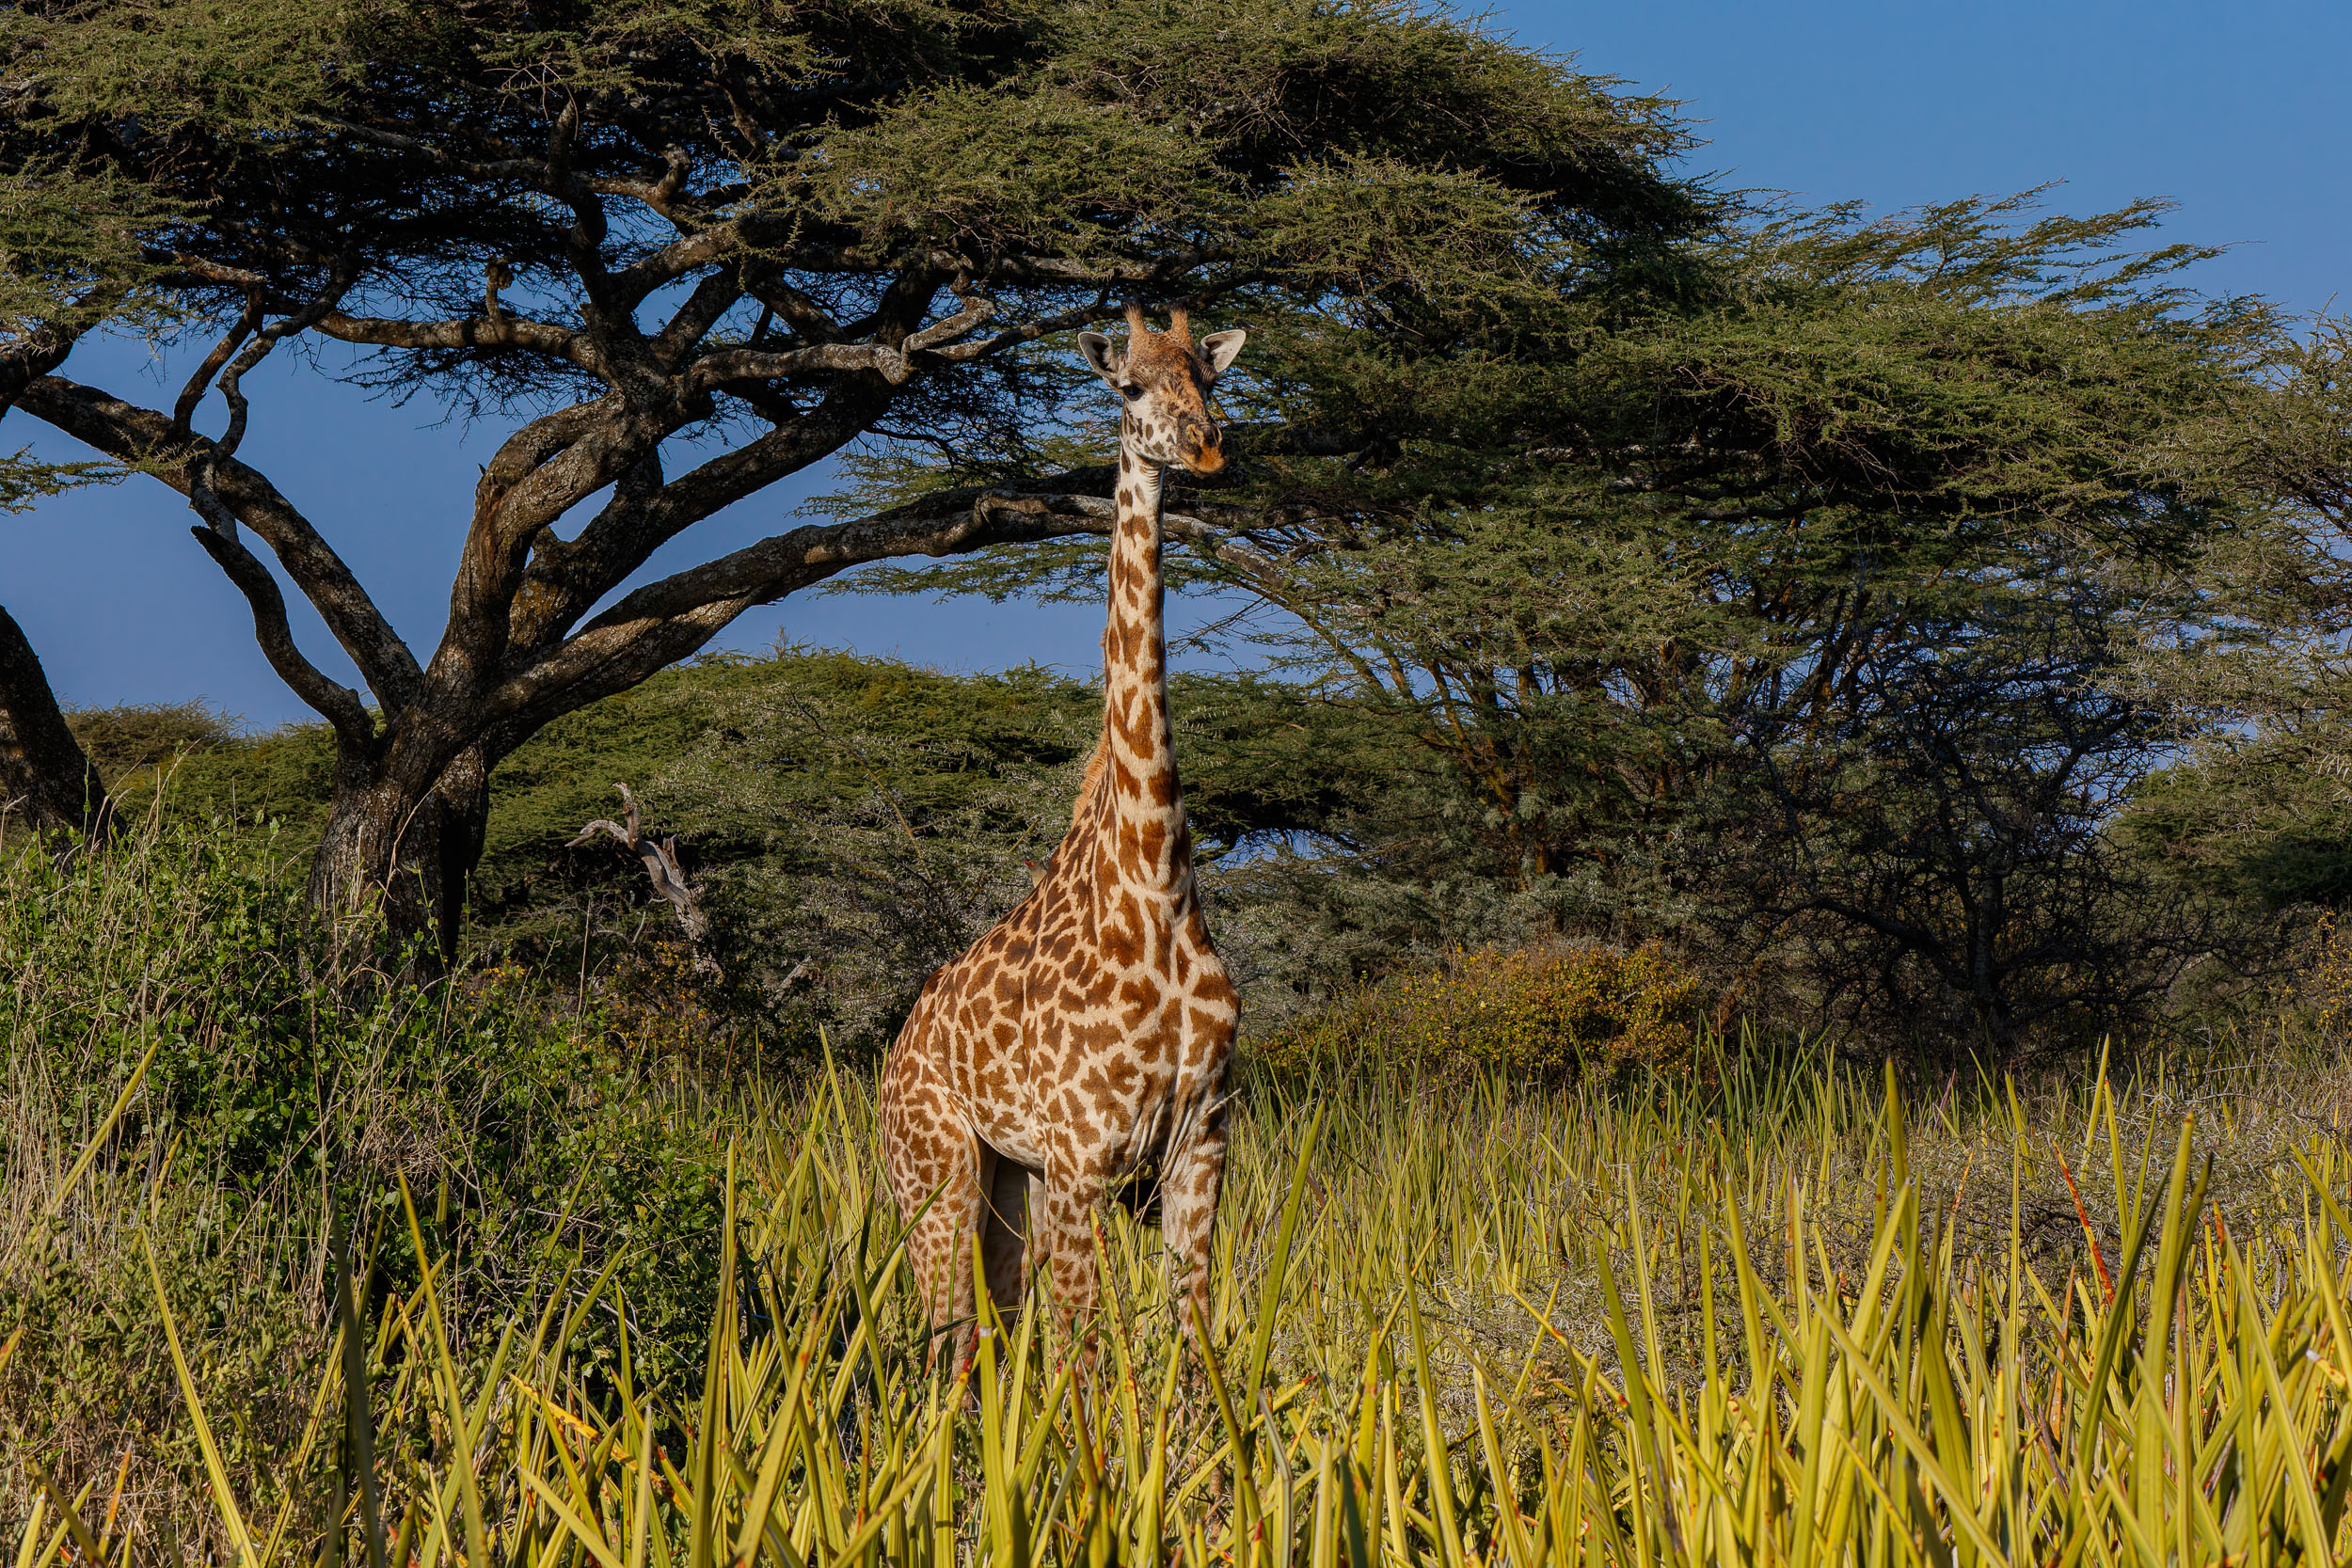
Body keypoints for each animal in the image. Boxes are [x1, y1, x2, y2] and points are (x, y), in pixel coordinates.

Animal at [880, 304, 1246, 1371]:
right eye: (1129, 387)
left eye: (1208, 376)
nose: (1204, 444)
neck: (1157, 881)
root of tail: (896, 1048)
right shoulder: (1085, 1154)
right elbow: (1086, 1362)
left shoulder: (1201, 1141)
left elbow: (1191, 1347)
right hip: (935, 1173)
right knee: (951, 1342)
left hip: (1011, 1177)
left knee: (995, 1330)